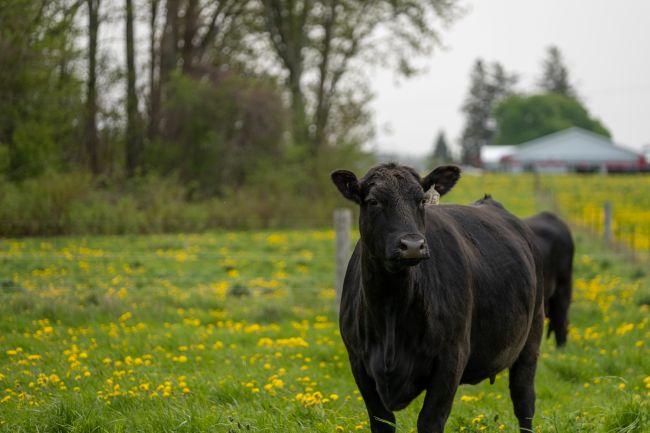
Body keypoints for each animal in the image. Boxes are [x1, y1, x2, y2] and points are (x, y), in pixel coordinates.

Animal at [331, 163, 544, 433]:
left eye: (421, 200)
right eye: (373, 201)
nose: (412, 245)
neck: (391, 308)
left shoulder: (451, 357)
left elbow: (430, 420)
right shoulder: (358, 361)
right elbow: (382, 421)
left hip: (531, 334)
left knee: (524, 400)